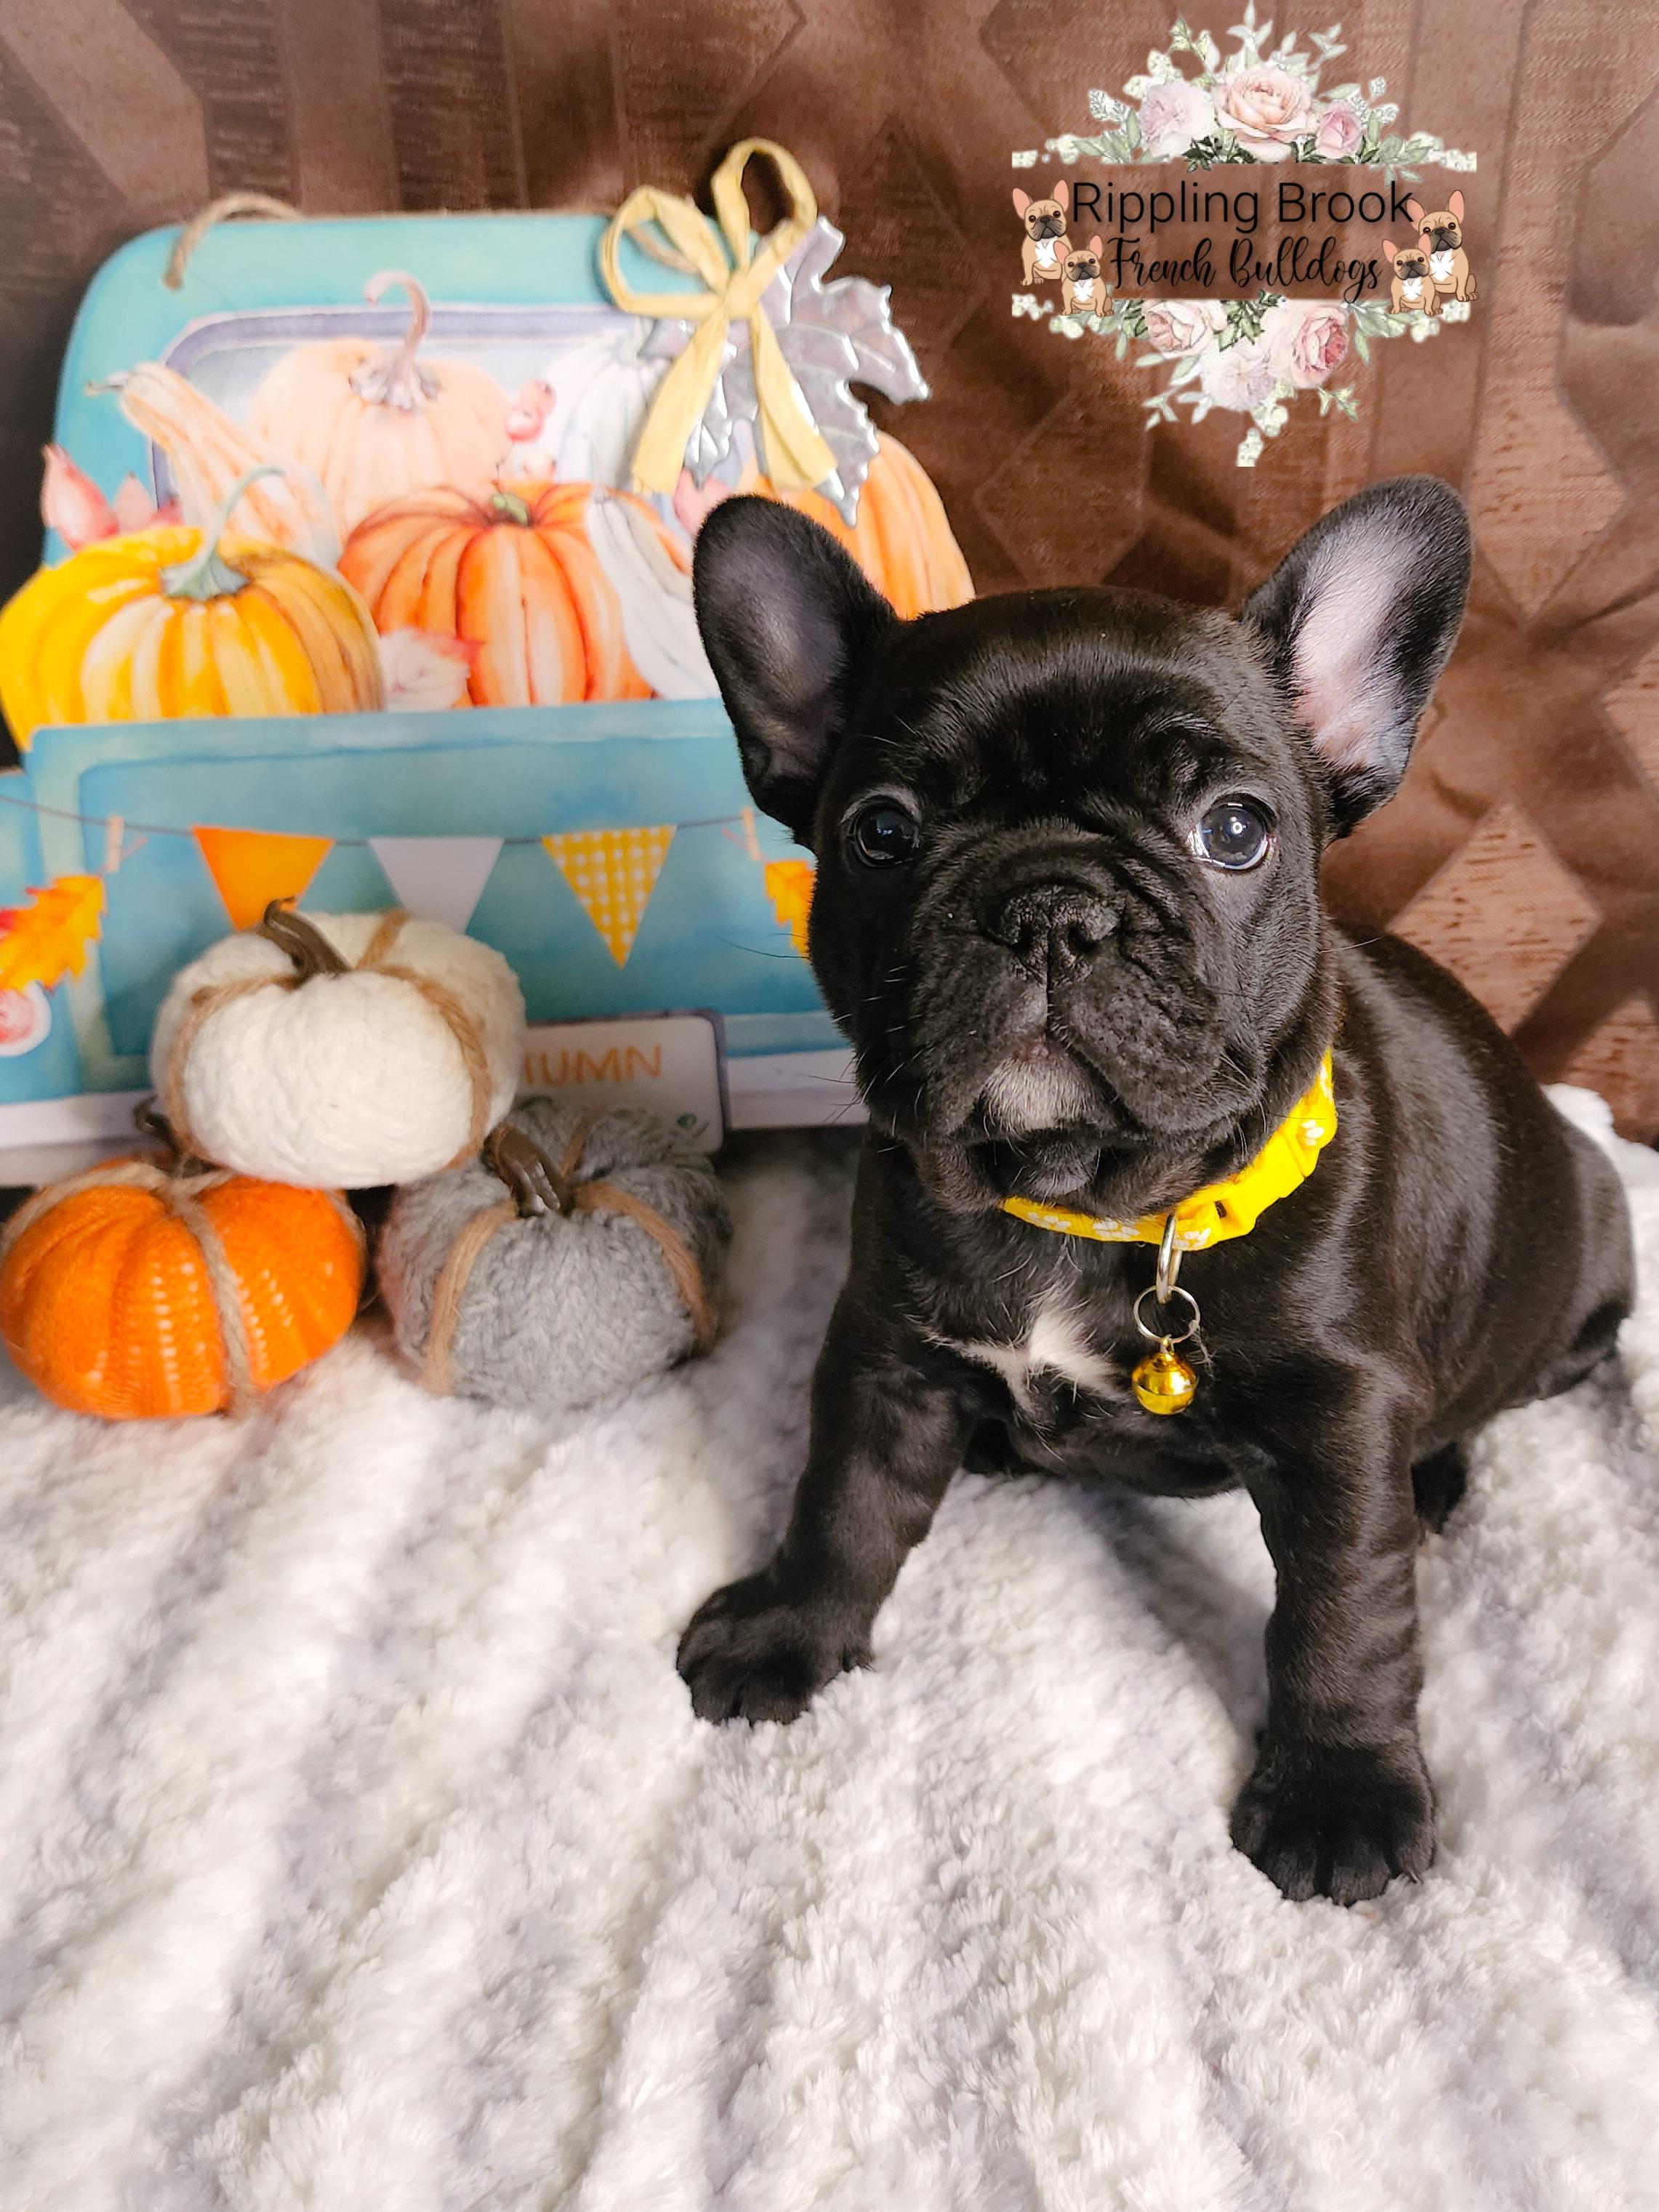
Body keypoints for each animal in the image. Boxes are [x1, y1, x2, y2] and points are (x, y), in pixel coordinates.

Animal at [682, 477, 1634, 1906]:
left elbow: (1343, 1613)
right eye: (882, 831)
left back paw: (1439, 1479)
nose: (1048, 907)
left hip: (1582, 1277)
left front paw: (1339, 1792)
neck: (1086, 1204)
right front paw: (787, 1627)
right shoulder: (884, 1352)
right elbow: (840, 1500)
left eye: (1233, 830)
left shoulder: (1339, 1422)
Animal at [1014, 179, 1072, 283]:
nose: (1044, 219)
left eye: (1057, 214)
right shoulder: (1028, 262)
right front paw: (1028, 281)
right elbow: (1028, 272)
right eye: (1032, 218)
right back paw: (1037, 279)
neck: (1046, 241)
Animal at [1407, 190, 1477, 305]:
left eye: (1452, 226)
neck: (1441, 254)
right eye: (1426, 230)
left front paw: (1462, 296)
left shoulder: (1463, 274)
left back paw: (1471, 295)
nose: (1439, 231)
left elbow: (1461, 287)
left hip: (1471, 277)